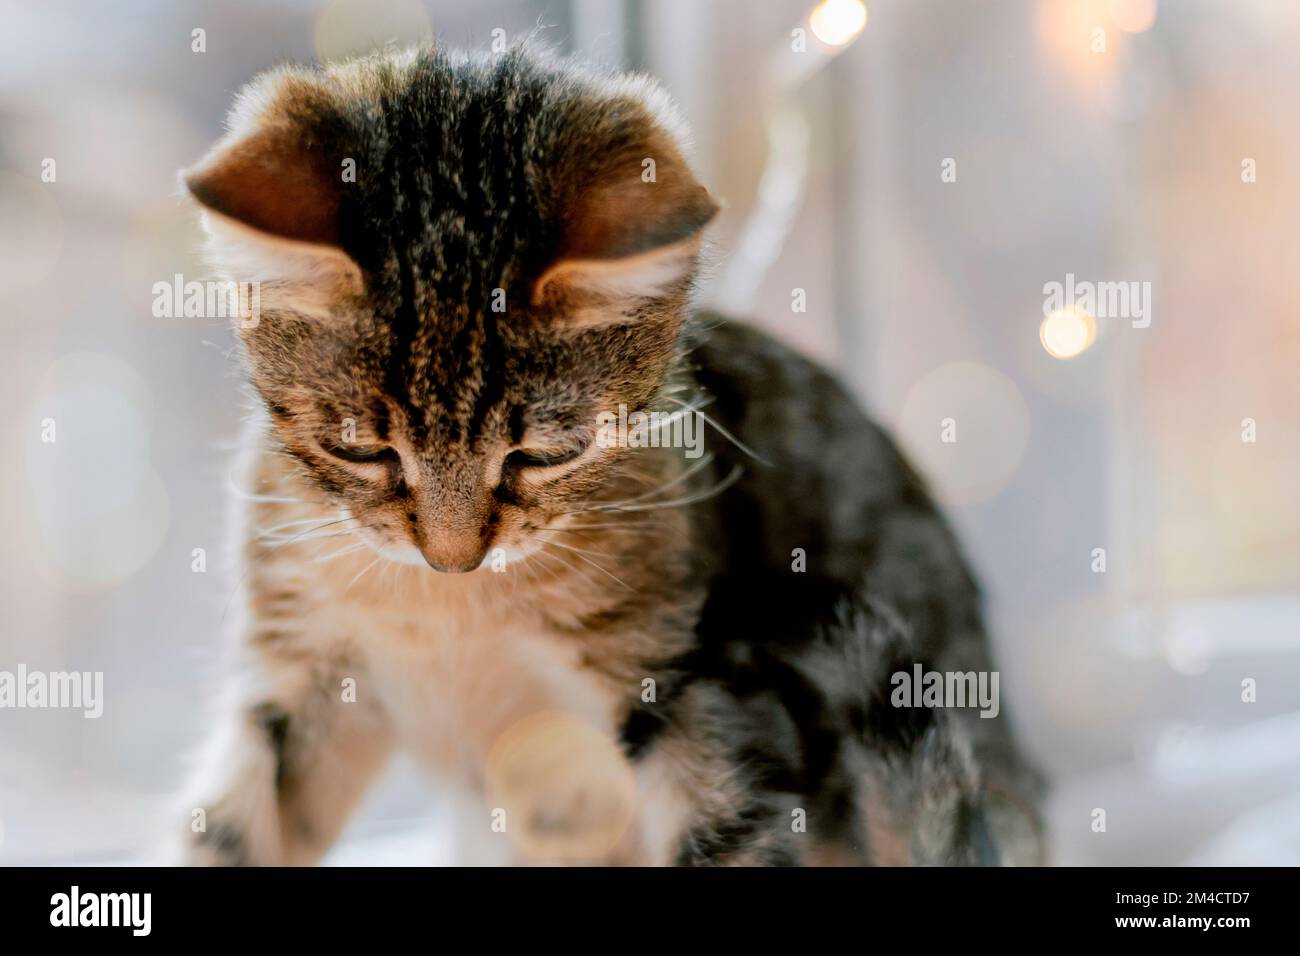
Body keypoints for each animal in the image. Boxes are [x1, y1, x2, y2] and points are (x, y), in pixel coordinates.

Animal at [175, 42, 1045, 868]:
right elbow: (230, 831)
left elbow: (729, 831)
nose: (452, 558)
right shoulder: (300, 679)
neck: (454, 612)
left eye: (542, 454)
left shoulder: (693, 679)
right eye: (359, 447)